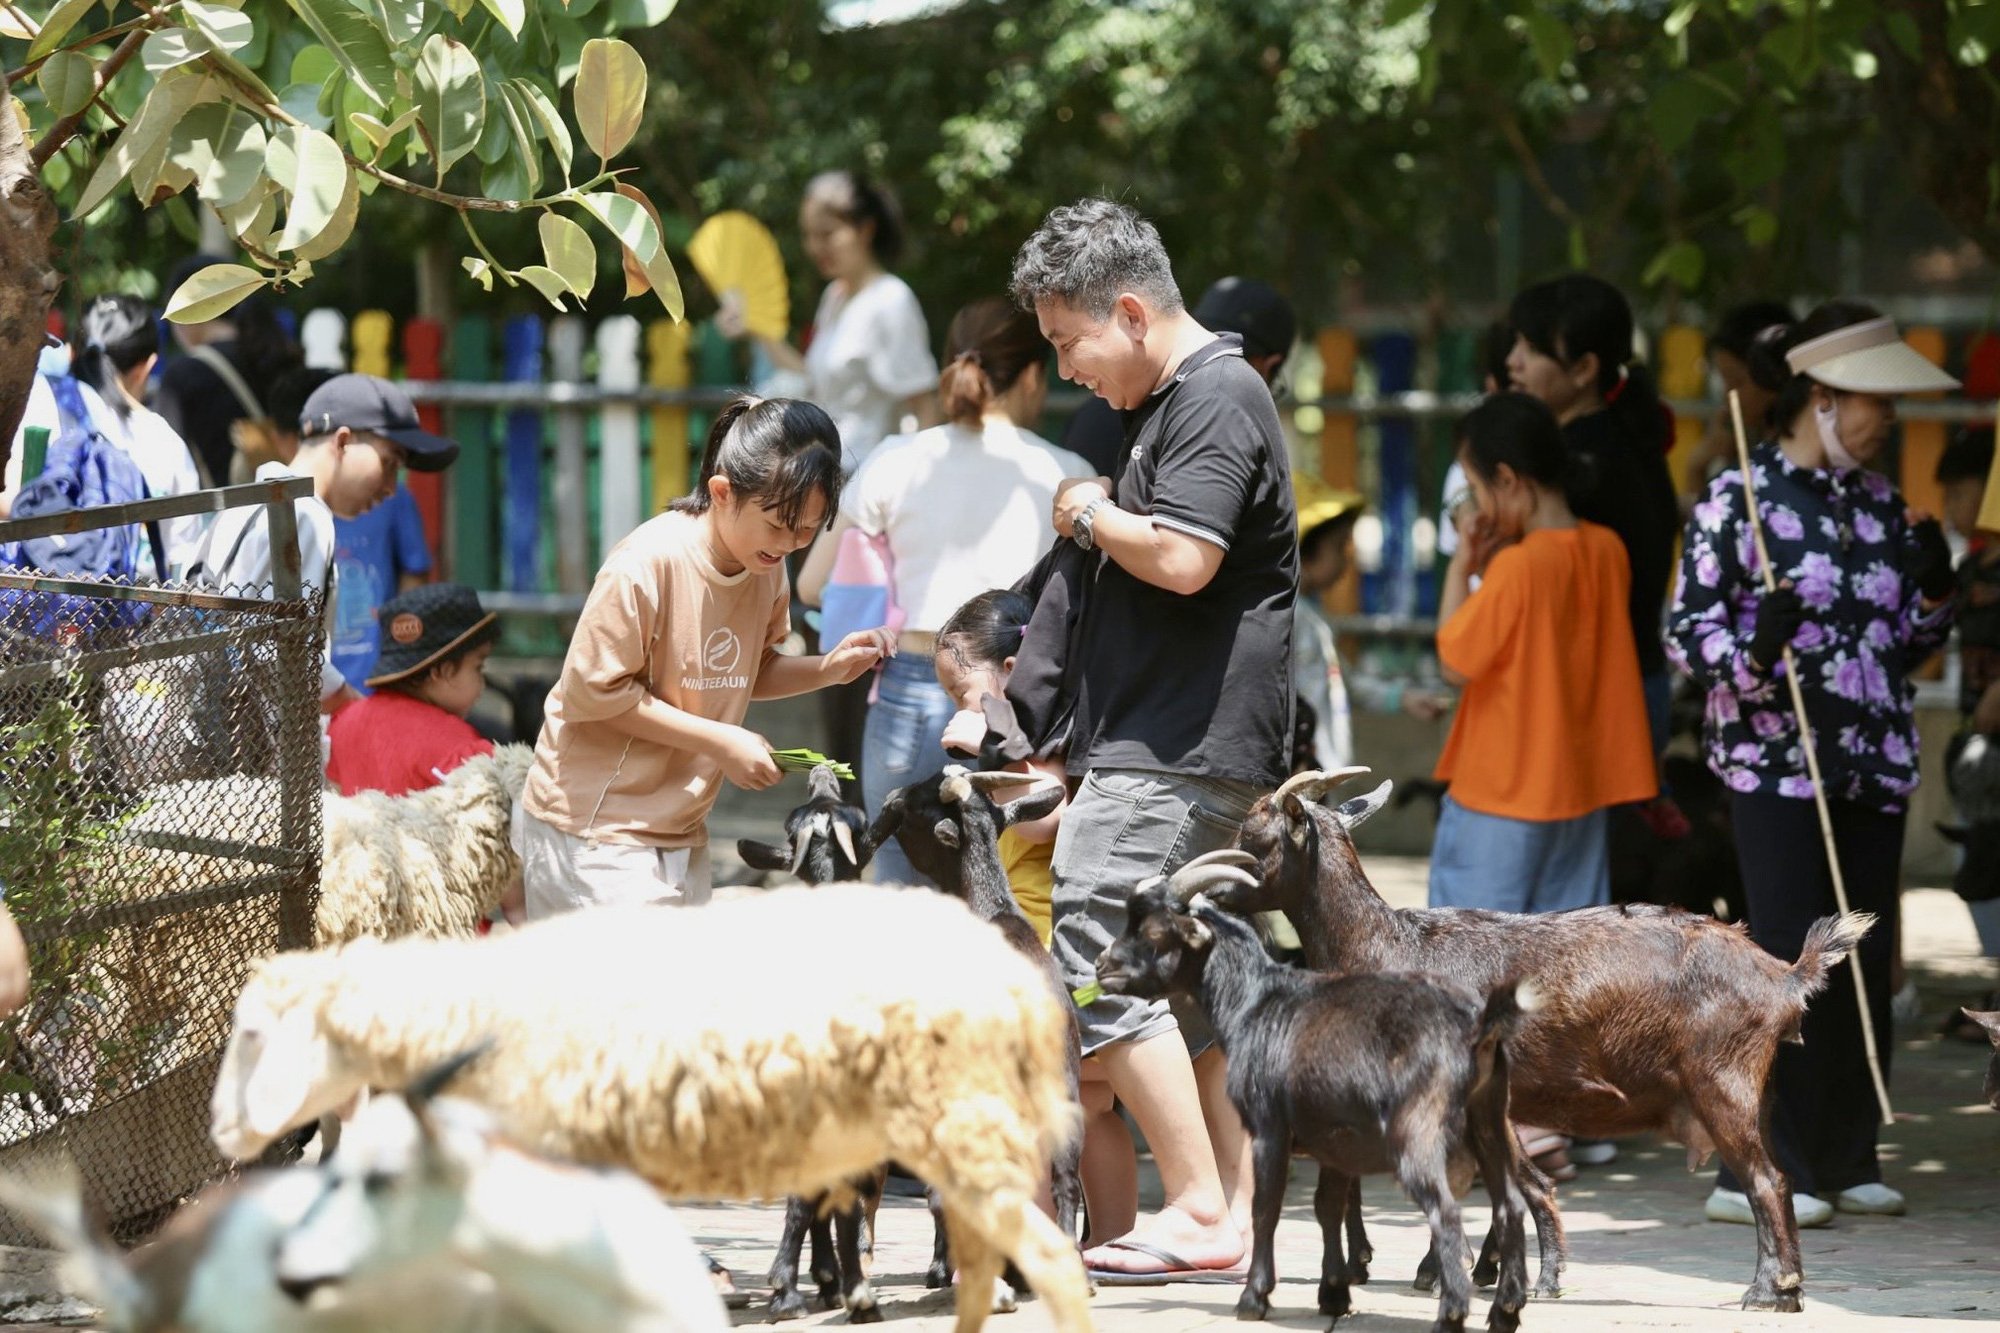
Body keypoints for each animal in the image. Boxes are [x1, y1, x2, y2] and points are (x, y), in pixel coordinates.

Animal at [872, 764, 1088, 1288]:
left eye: (915, 806)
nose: (890, 795)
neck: (990, 905)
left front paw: (939, 1267)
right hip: (1062, 1095)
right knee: (1063, 1179)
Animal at [1096, 852, 1544, 1328]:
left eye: (1153, 932)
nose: (1102, 966)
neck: (1255, 1002)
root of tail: (1477, 1027)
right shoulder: (1334, 1138)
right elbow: (1328, 1206)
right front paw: (1333, 1293)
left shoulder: (1269, 1127)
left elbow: (1266, 1207)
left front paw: (1254, 1298)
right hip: (1488, 1118)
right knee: (1510, 1205)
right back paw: (1506, 1311)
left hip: (1417, 1129)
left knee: (1446, 1210)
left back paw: (1452, 1312)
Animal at [1200, 768, 1872, 1304]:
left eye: (1251, 840)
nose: (1202, 886)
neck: (1388, 946)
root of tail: (1786, 976)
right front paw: (1479, 1271)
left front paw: (1502, 1277)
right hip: (1757, 1090)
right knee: (1778, 1178)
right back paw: (1787, 1289)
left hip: (1721, 1082)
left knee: (1765, 1182)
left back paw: (1766, 1292)